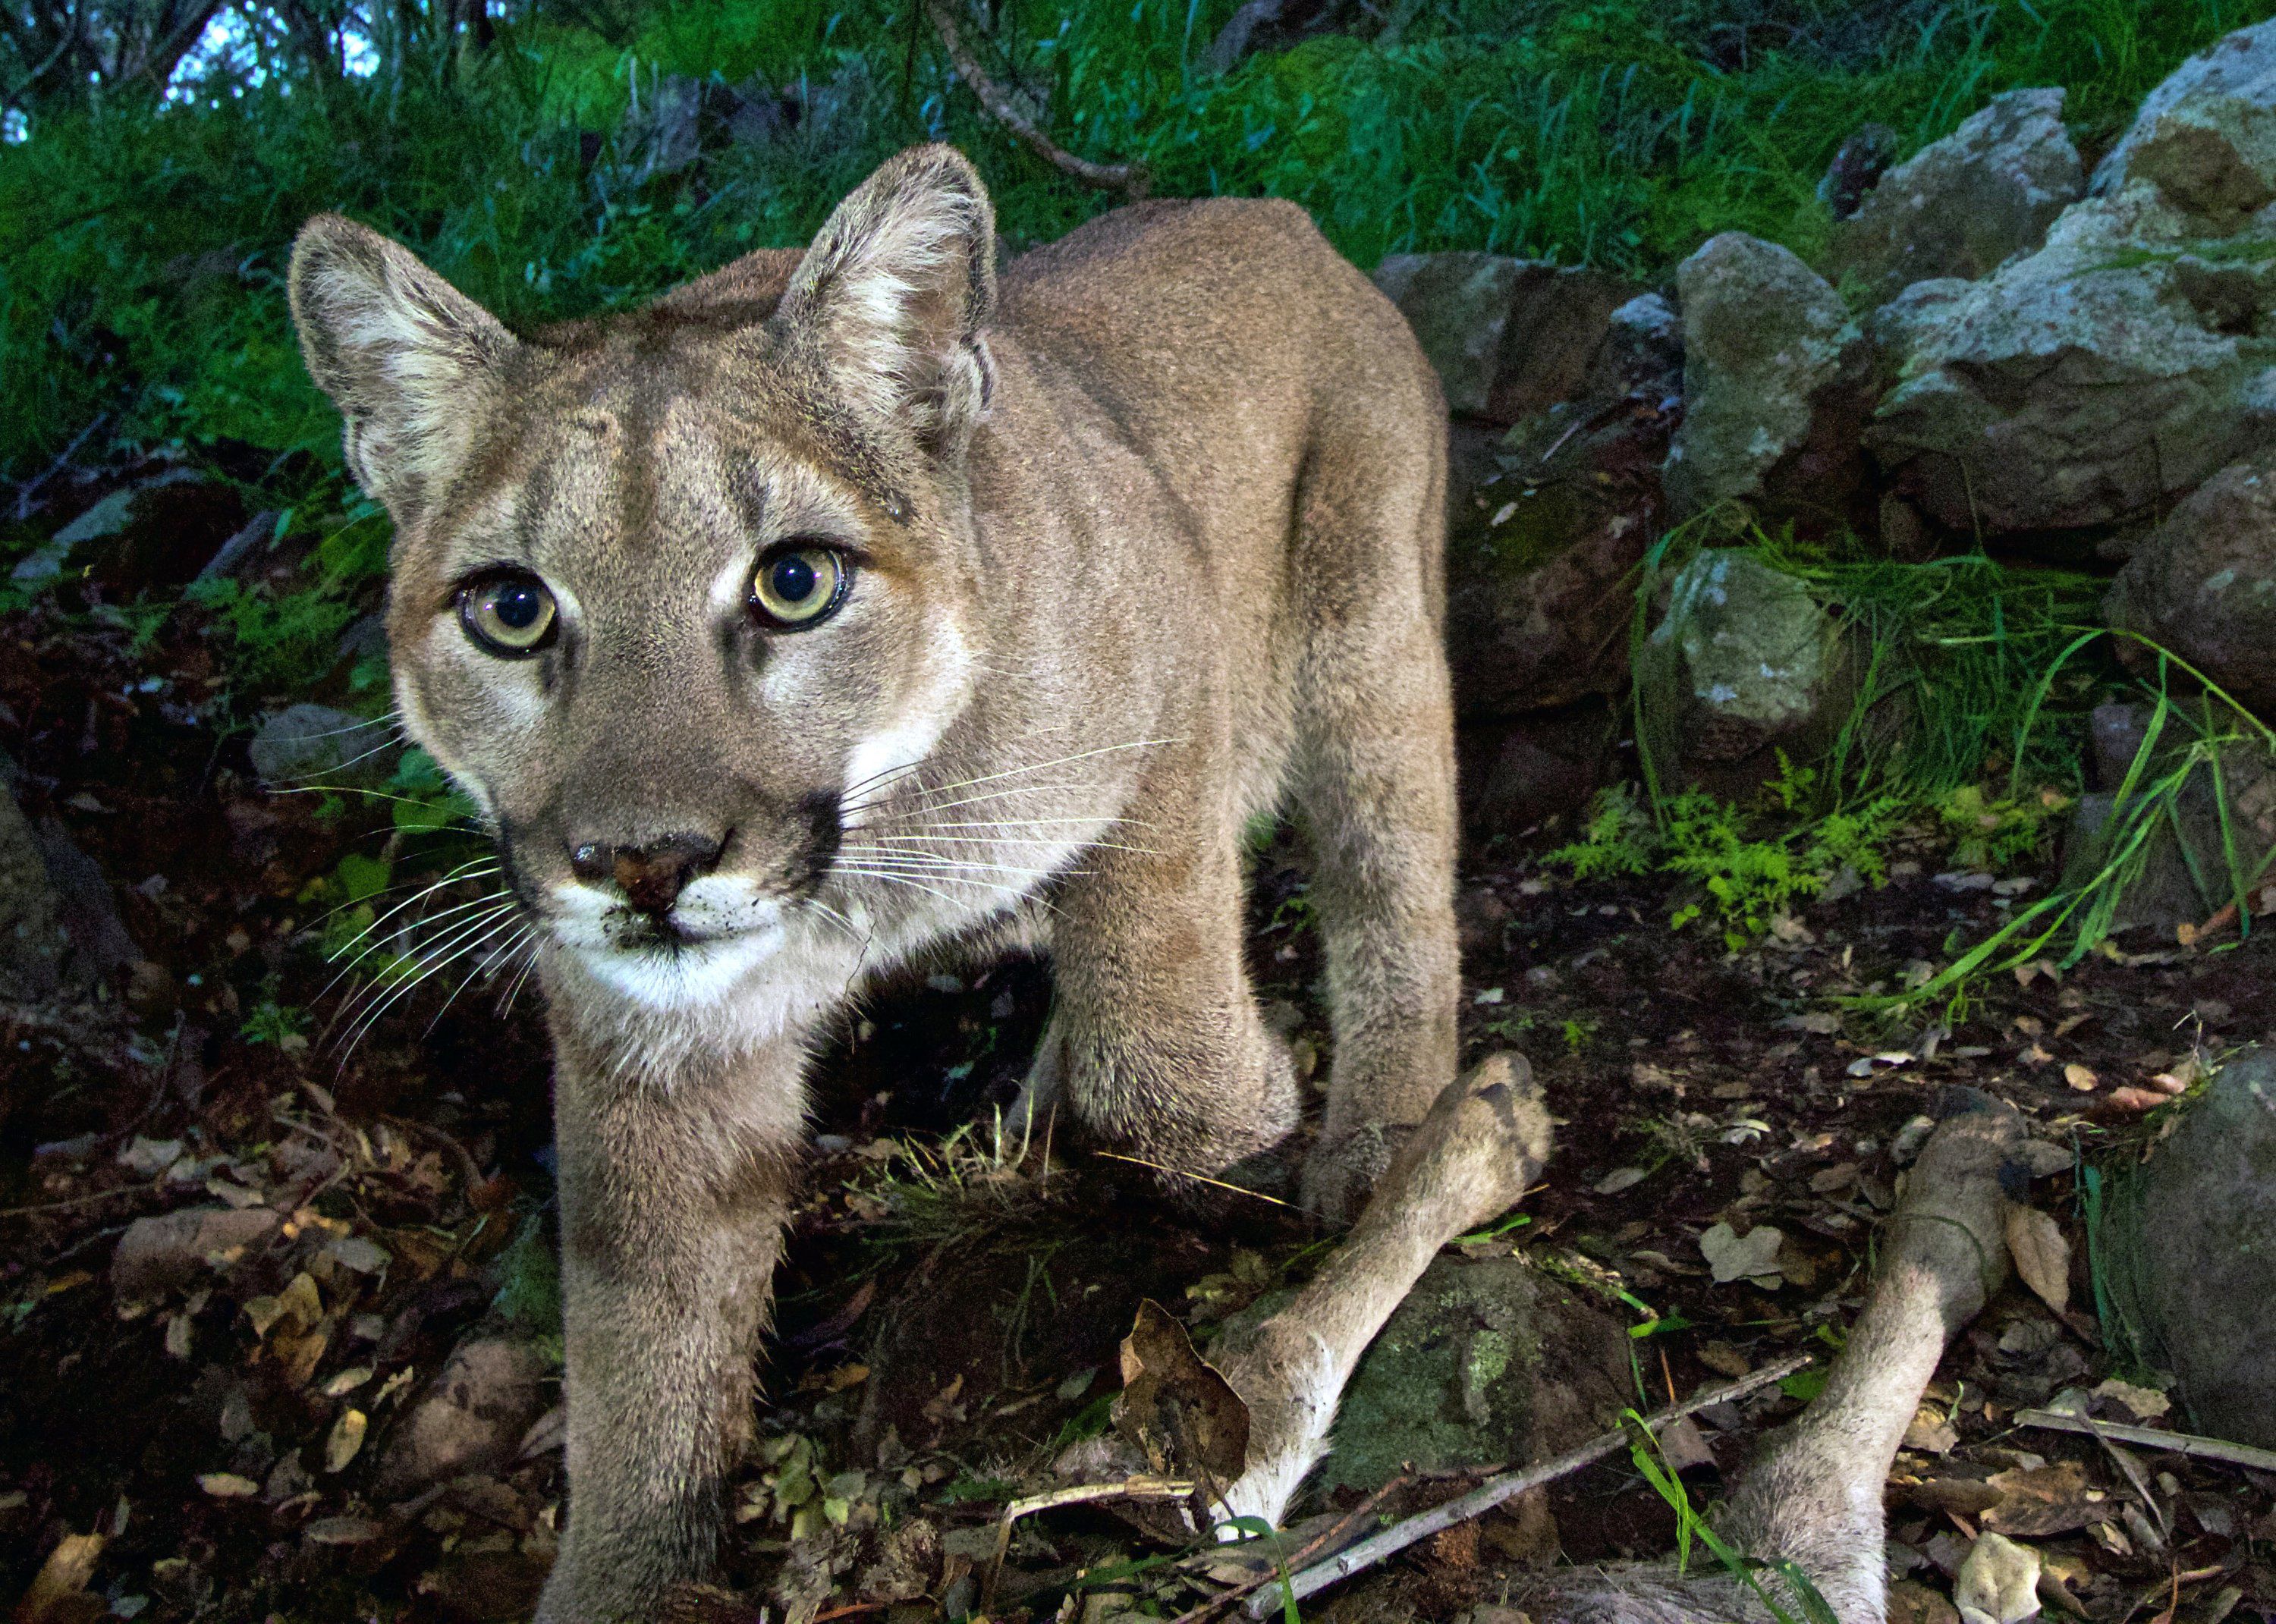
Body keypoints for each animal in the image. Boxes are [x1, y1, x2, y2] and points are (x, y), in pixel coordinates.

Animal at [289, 145, 1457, 1610]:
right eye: (512, 609)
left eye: (794, 581)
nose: (644, 863)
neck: (865, 867)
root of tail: (1274, 214)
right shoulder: (648, 1040)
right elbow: (642, 1336)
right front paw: (628, 1578)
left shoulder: (1171, 670)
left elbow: (1160, 1026)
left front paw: (1239, 1143)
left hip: (1369, 638)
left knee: (1397, 885)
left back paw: (1380, 1135)